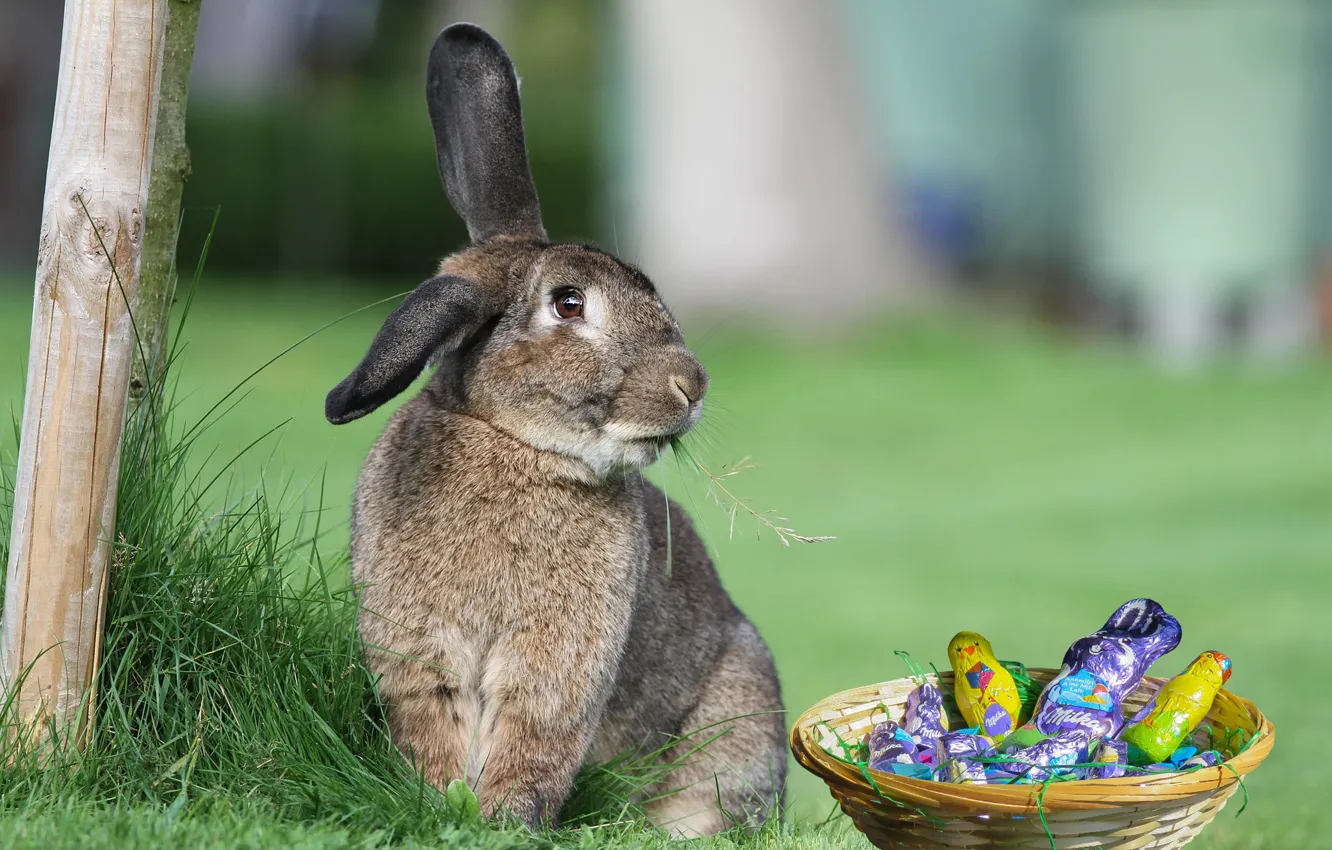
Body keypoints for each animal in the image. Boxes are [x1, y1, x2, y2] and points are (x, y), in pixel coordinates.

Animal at [327, 21, 783, 842]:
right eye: (569, 304)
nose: (691, 385)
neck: (513, 443)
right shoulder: (419, 654)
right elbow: (436, 727)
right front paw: (439, 803)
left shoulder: (555, 669)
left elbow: (533, 740)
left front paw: (505, 822)